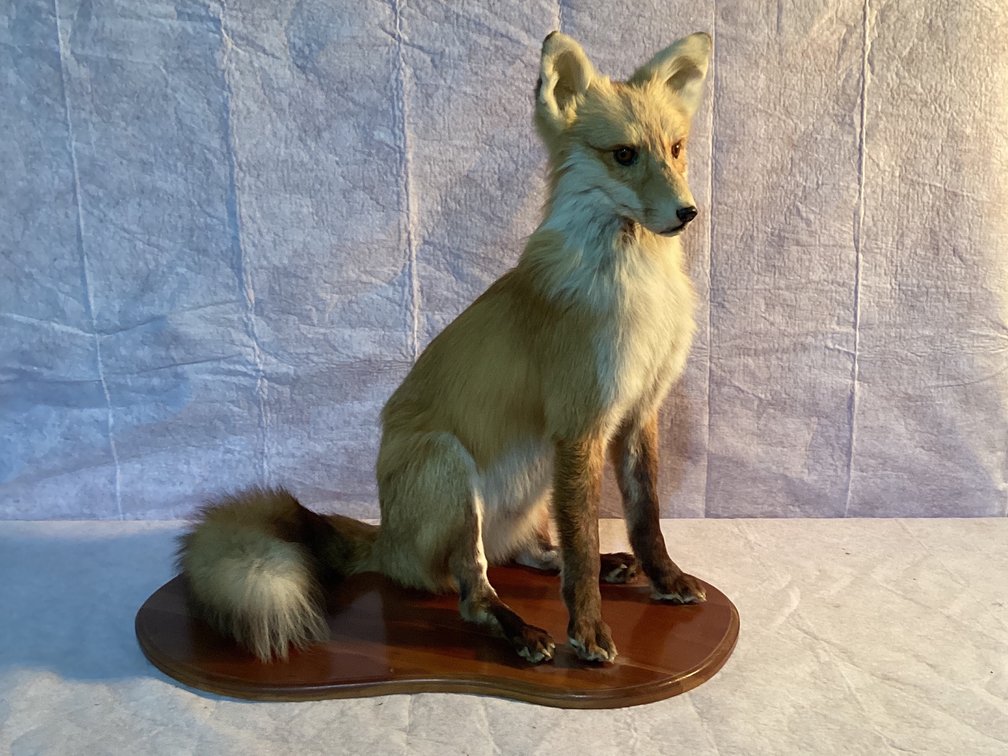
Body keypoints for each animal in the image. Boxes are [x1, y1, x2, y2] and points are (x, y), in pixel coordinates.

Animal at [178, 30, 712, 665]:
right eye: (625, 155)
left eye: (676, 149)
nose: (688, 212)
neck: (640, 290)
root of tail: (388, 540)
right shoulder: (579, 424)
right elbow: (582, 542)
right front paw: (586, 630)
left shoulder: (638, 413)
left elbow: (643, 516)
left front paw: (666, 580)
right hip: (450, 468)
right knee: (473, 593)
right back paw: (521, 631)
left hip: (531, 489)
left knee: (531, 553)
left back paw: (597, 568)